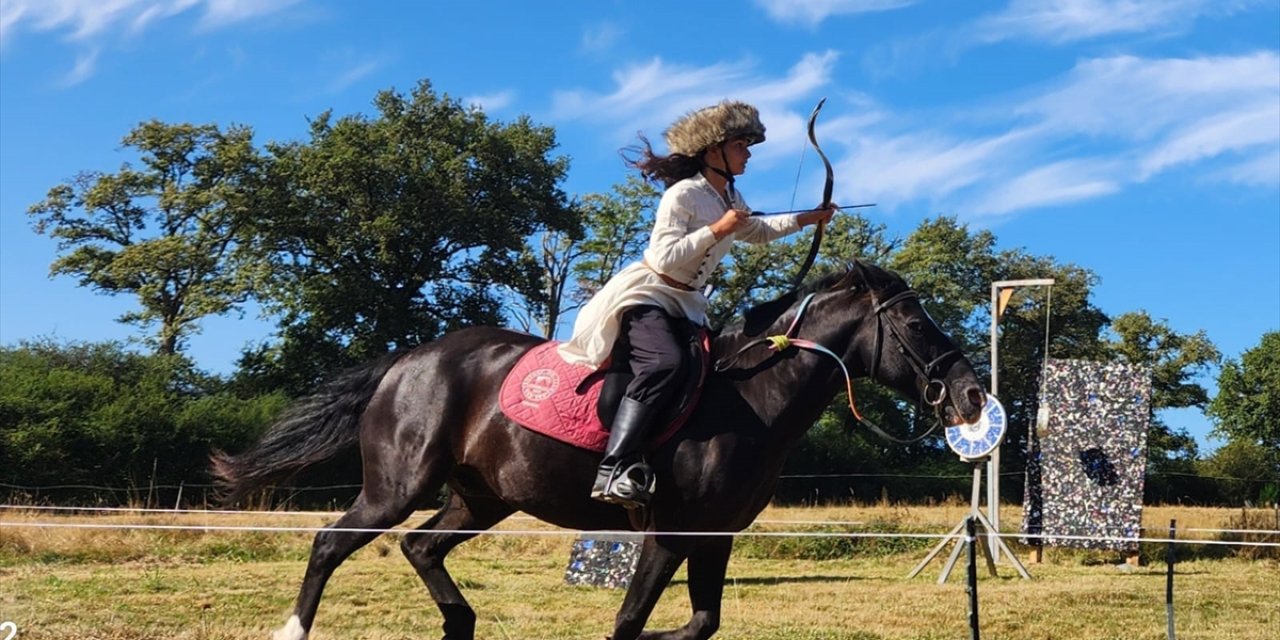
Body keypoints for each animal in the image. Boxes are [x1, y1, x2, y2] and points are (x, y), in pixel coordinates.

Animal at [215, 259, 983, 640]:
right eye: (916, 322)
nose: (972, 396)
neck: (754, 397)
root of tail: (407, 360)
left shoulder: (714, 539)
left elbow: (698, 624)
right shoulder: (671, 534)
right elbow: (628, 622)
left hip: (481, 499)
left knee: (421, 548)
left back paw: (461, 625)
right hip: (396, 488)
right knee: (330, 542)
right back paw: (293, 630)